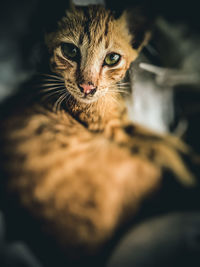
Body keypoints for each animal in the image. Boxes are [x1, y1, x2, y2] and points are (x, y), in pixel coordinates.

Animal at [0, 2, 198, 267]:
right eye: (70, 50)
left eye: (112, 58)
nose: (87, 87)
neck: (107, 100)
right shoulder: (115, 132)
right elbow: (162, 147)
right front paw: (188, 174)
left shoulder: (126, 126)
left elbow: (165, 140)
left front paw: (191, 157)